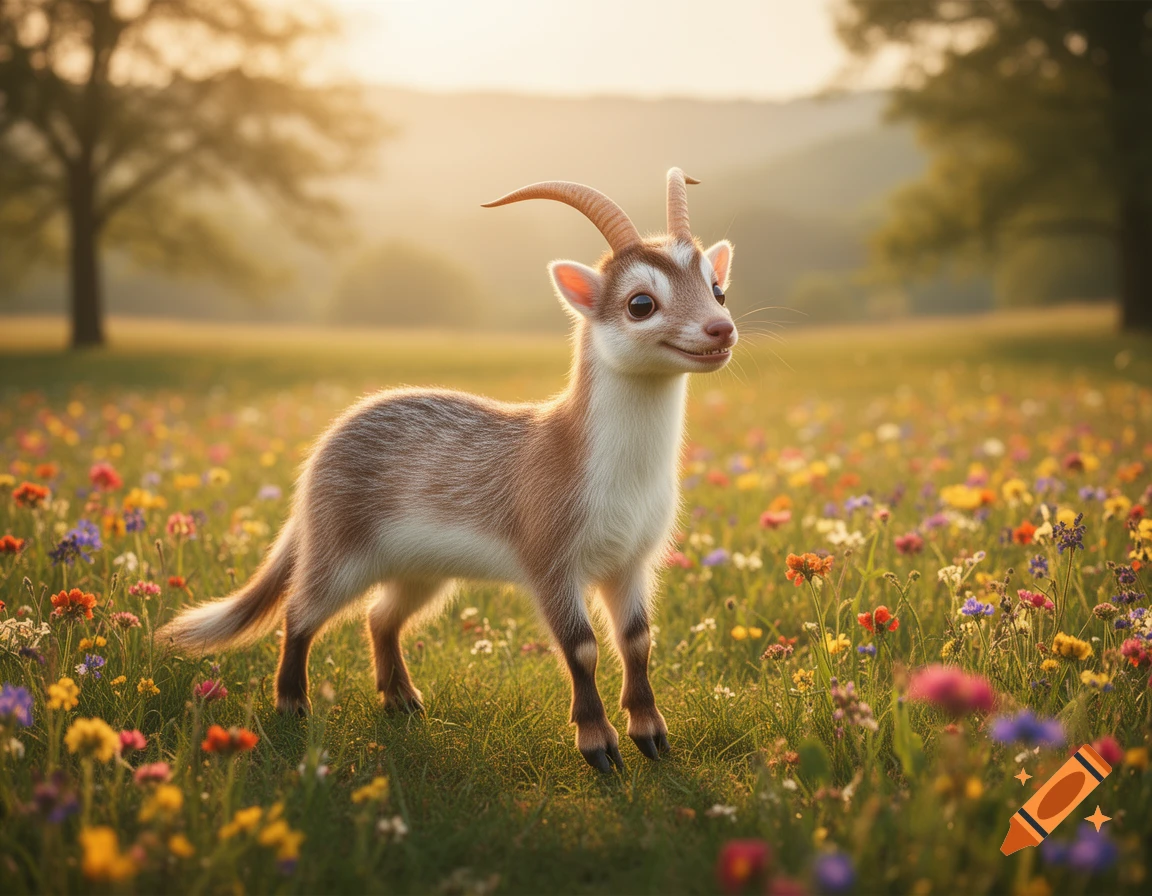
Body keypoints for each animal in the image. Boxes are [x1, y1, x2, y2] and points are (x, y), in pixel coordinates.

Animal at [158, 169, 737, 771]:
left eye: (718, 288)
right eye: (640, 302)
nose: (720, 328)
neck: (606, 469)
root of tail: (321, 452)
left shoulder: (631, 561)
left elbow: (638, 640)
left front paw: (653, 737)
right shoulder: (550, 556)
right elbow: (581, 648)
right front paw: (598, 747)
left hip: (421, 569)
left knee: (381, 617)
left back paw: (402, 699)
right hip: (338, 548)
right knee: (301, 610)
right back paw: (293, 703)